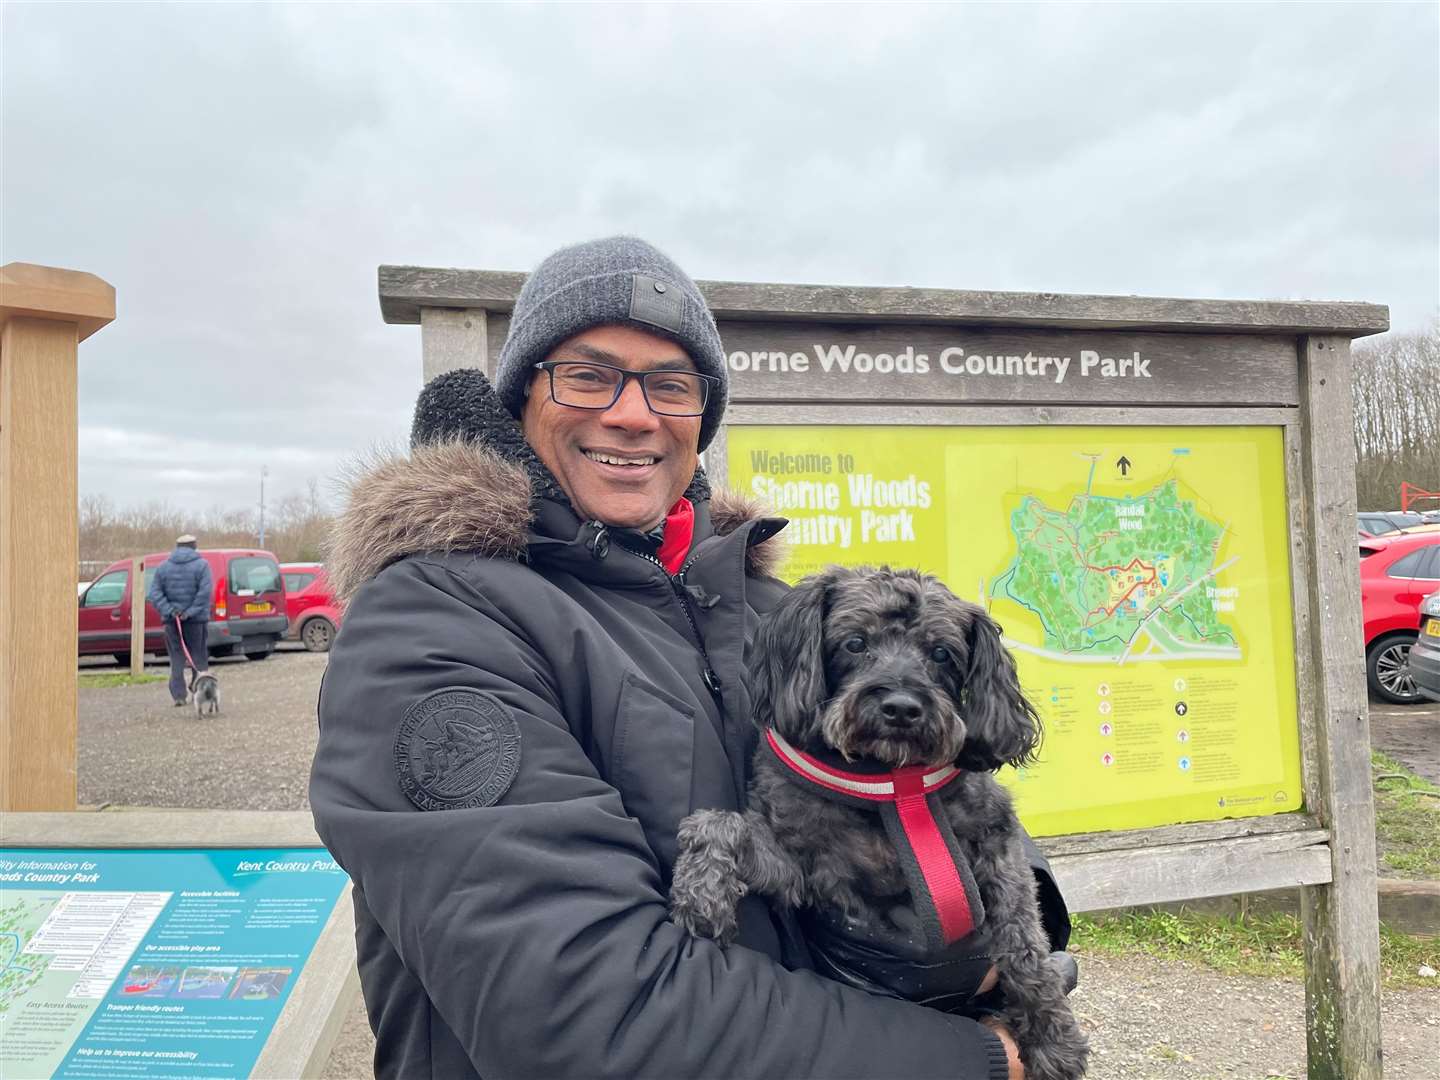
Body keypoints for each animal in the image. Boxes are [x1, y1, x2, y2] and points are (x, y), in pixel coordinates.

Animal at [673, 567, 1088, 1080]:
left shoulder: (998, 847)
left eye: (941, 653)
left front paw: (1053, 1038)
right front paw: (700, 893)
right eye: (855, 643)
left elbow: (1025, 945)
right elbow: (719, 823)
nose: (902, 707)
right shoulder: (802, 869)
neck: (889, 782)